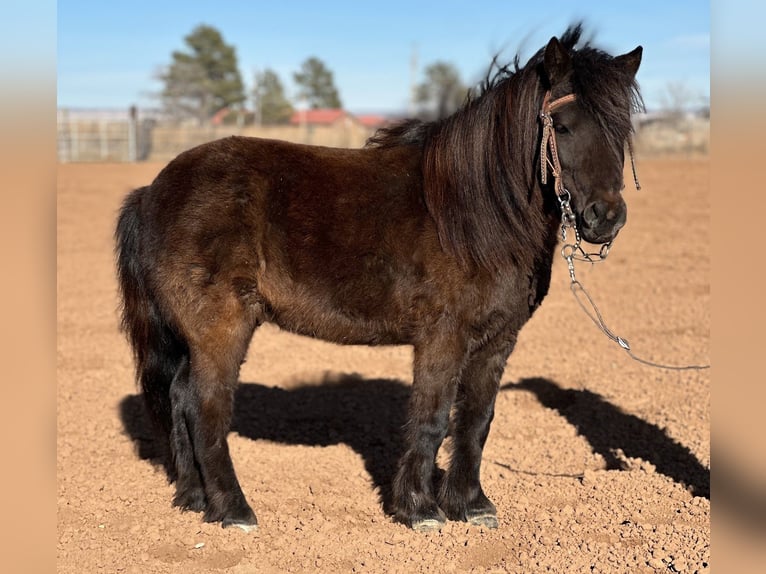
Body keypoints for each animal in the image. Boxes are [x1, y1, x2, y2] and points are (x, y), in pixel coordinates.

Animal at [115, 24, 643, 533]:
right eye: (565, 126)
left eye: (622, 129)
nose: (605, 218)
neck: (476, 210)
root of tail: (151, 192)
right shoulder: (443, 337)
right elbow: (431, 418)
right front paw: (419, 509)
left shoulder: (497, 339)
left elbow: (476, 421)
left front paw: (470, 505)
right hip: (219, 330)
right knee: (205, 408)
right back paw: (234, 510)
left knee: (179, 397)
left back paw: (193, 497)